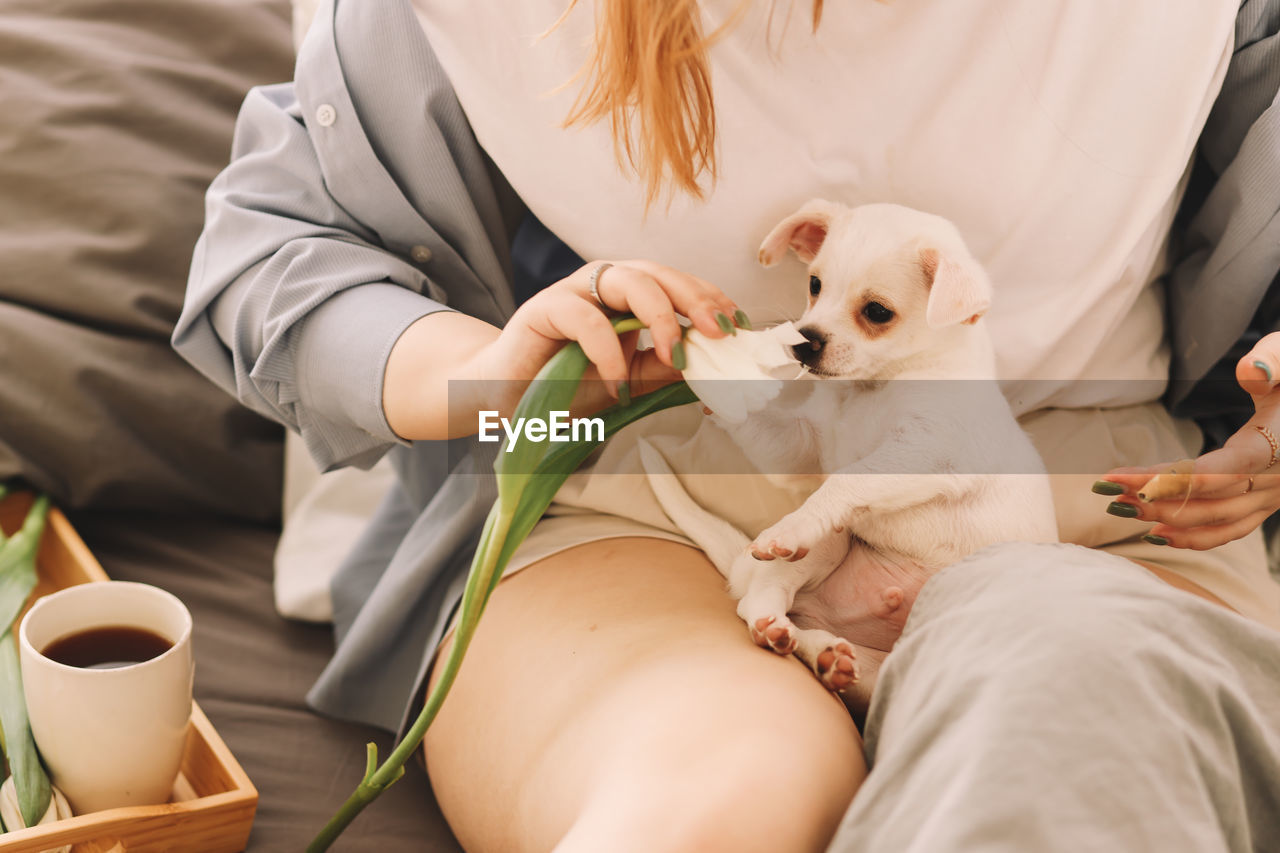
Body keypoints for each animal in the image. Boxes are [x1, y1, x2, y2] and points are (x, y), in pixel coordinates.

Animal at [650, 199, 1059, 696]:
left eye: (877, 312)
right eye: (814, 285)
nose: (804, 341)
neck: (871, 388)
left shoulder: (925, 448)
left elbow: (848, 479)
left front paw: (792, 525)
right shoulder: (800, 448)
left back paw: (818, 647)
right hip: (828, 545)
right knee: (762, 601)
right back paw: (793, 638)